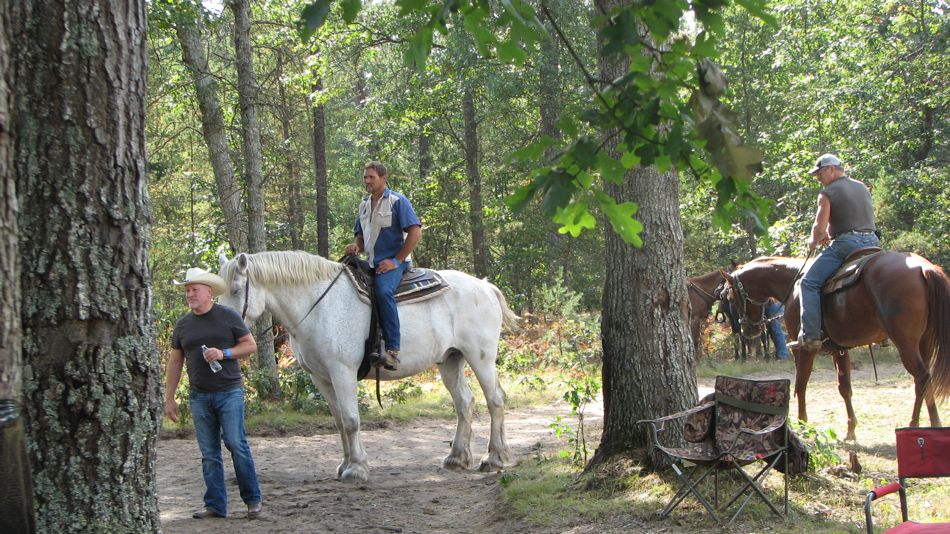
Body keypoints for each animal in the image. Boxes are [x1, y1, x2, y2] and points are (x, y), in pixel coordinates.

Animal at [218, 252, 520, 486]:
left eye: (236, 289)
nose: (223, 329)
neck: (319, 306)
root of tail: (485, 287)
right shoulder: (321, 378)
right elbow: (340, 422)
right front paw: (346, 465)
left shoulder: (342, 372)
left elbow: (352, 420)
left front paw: (356, 469)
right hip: (450, 360)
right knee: (464, 403)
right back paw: (457, 458)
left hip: (480, 358)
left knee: (495, 400)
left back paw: (494, 457)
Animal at [720, 253, 950, 442]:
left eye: (730, 296)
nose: (747, 330)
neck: (793, 281)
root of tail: (923, 268)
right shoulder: (840, 349)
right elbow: (844, 388)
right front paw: (851, 430)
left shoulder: (804, 349)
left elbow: (800, 385)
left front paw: (803, 424)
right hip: (924, 342)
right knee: (925, 379)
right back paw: (930, 425)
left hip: (905, 343)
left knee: (921, 376)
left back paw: (918, 425)